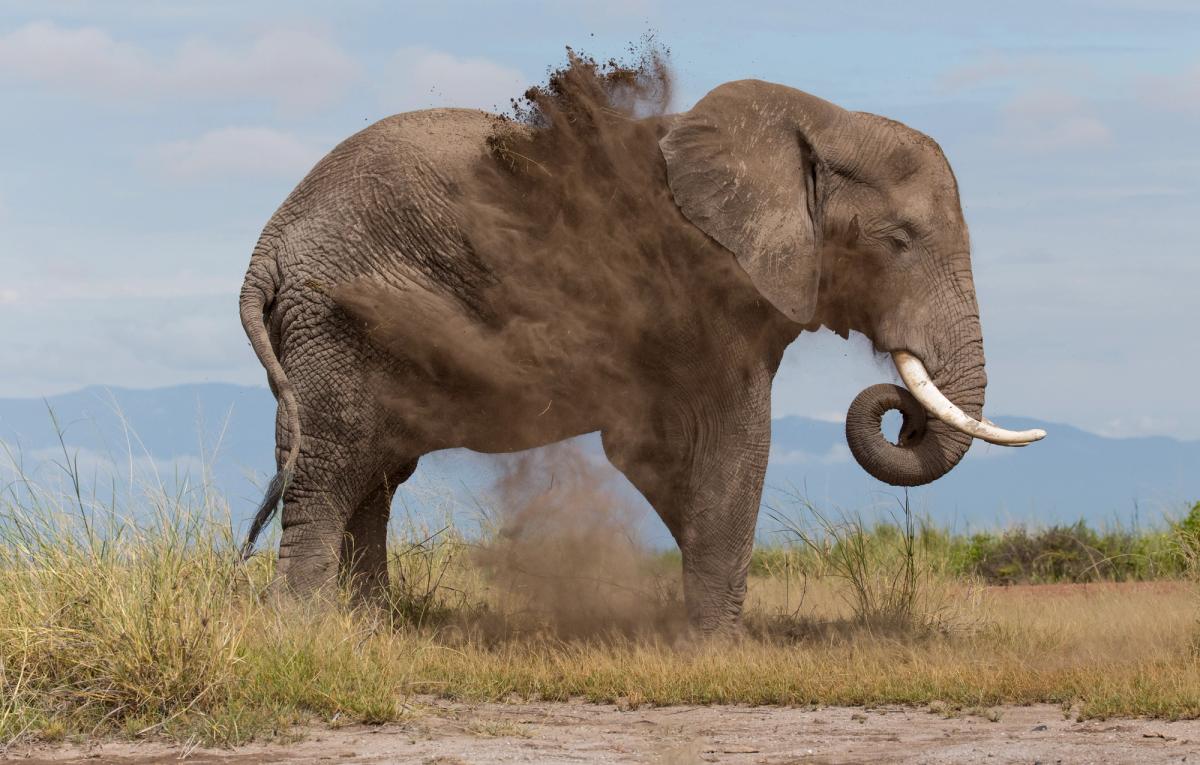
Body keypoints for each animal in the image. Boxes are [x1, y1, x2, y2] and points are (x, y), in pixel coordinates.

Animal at [238, 74, 1044, 634]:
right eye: (898, 240)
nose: (900, 412)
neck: (815, 120)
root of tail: (268, 248)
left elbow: (661, 456)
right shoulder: (704, 295)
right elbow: (734, 448)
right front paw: (720, 649)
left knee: (369, 476)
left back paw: (371, 630)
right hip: (334, 323)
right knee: (331, 470)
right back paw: (305, 634)